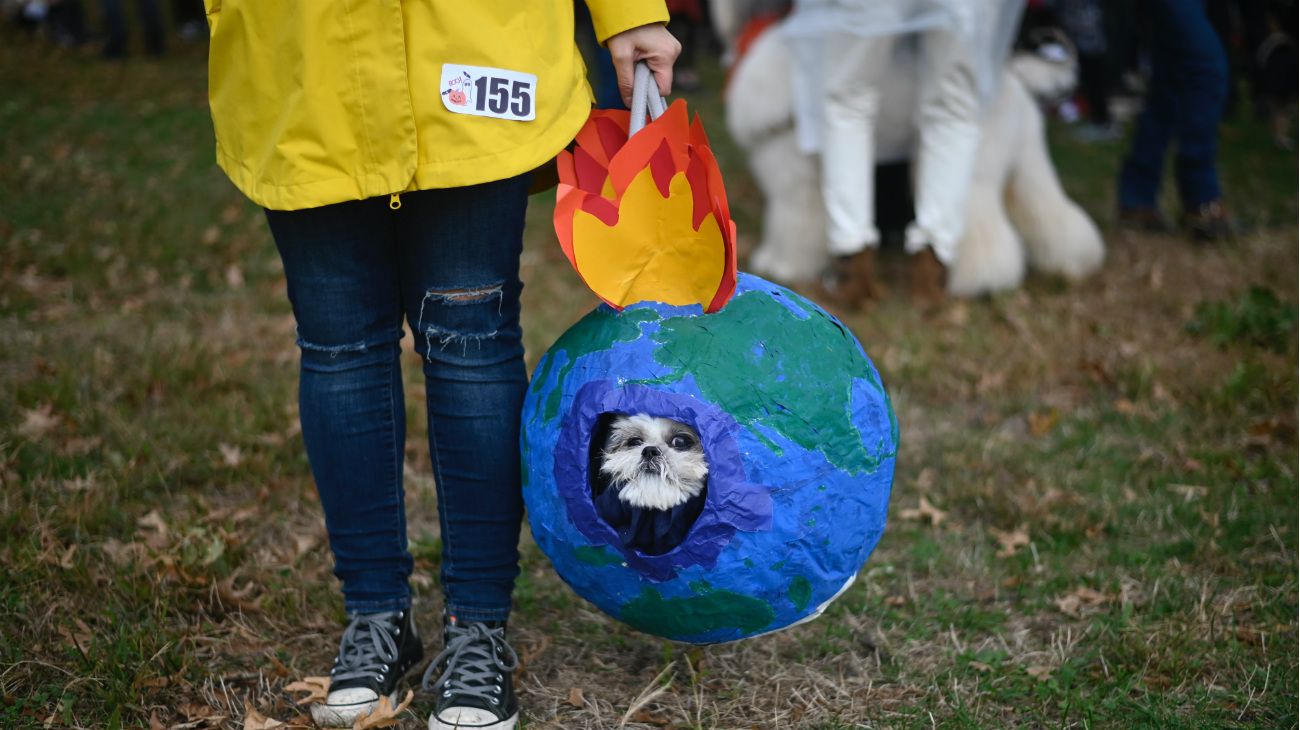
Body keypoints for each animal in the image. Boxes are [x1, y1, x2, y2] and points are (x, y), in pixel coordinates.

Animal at [728, 24, 1102, 296]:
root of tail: (1014, 80)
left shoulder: (795, 186)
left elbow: (791, 229)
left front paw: (780, 266)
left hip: (974, 178)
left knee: (986, 236)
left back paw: (981, 280)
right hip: (1028, 166)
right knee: (1056, 216)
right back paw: (1073, 264)